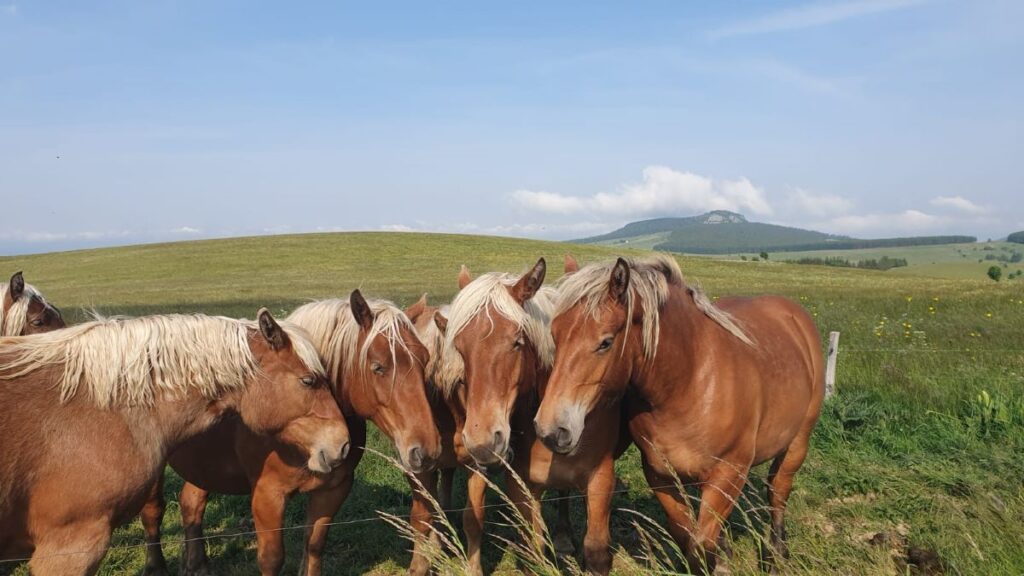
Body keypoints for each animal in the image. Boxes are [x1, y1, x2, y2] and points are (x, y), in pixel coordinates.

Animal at [140, 290, 441, 576]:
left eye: (425, 360)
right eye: (378, 366)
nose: (426, 451)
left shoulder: (333, 489)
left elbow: (314, 546)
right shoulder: (268, 496)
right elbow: (272, 559)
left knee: (191, 503)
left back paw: (197, 565)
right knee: (153, 512)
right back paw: (156, 568)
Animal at [432, 256, 626, 575]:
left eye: (517, 342)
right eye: (460, 348)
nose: (482, 443)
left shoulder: (601, 479)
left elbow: (598, 551)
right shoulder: (521, 484)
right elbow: (532, 548)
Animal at [533, 255, 824, 573]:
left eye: (605, 342)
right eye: (555, 335)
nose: (551, 430)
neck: (689, 382)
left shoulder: (728, 473)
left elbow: (701, 544)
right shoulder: (661, 476)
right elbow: (688, 539)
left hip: (797, 443)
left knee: (777, 492)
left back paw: (776, 555)